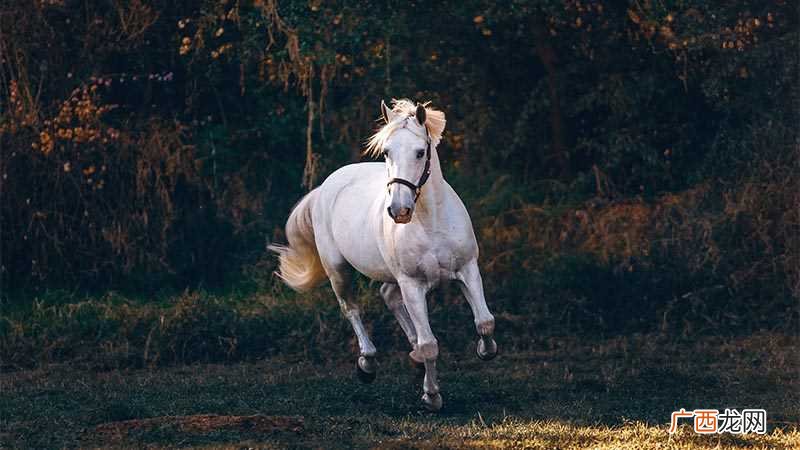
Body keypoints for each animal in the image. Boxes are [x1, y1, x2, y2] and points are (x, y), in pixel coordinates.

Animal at [270, 99, 496, 411]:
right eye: (387, 151)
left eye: (420, 152)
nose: (398, 210)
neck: (431, 221)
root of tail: (326, 186)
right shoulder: (412, 284)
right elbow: (430, 344)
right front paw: (432, 396)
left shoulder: (467, 269)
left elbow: (484, 322)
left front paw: (485, 351)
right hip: (338, 270)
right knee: (351, 309)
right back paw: (367, 364)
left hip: (390, 275)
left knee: (388, 296)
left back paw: (413, 357)